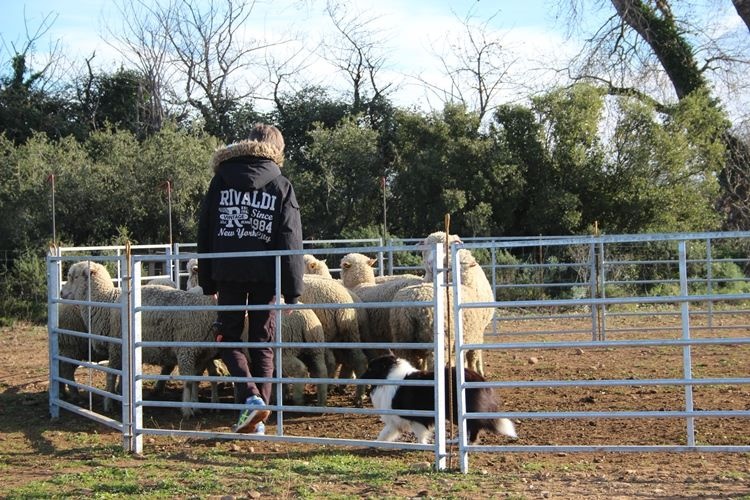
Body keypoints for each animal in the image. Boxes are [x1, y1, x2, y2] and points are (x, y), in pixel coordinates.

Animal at [60, 262, 219, 418]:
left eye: (73, 277)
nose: (61, 293)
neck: (105, 300)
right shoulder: (189, 351)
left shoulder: (194, 352)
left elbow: (192, 380)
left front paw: (191, 407)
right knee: (68, 370)